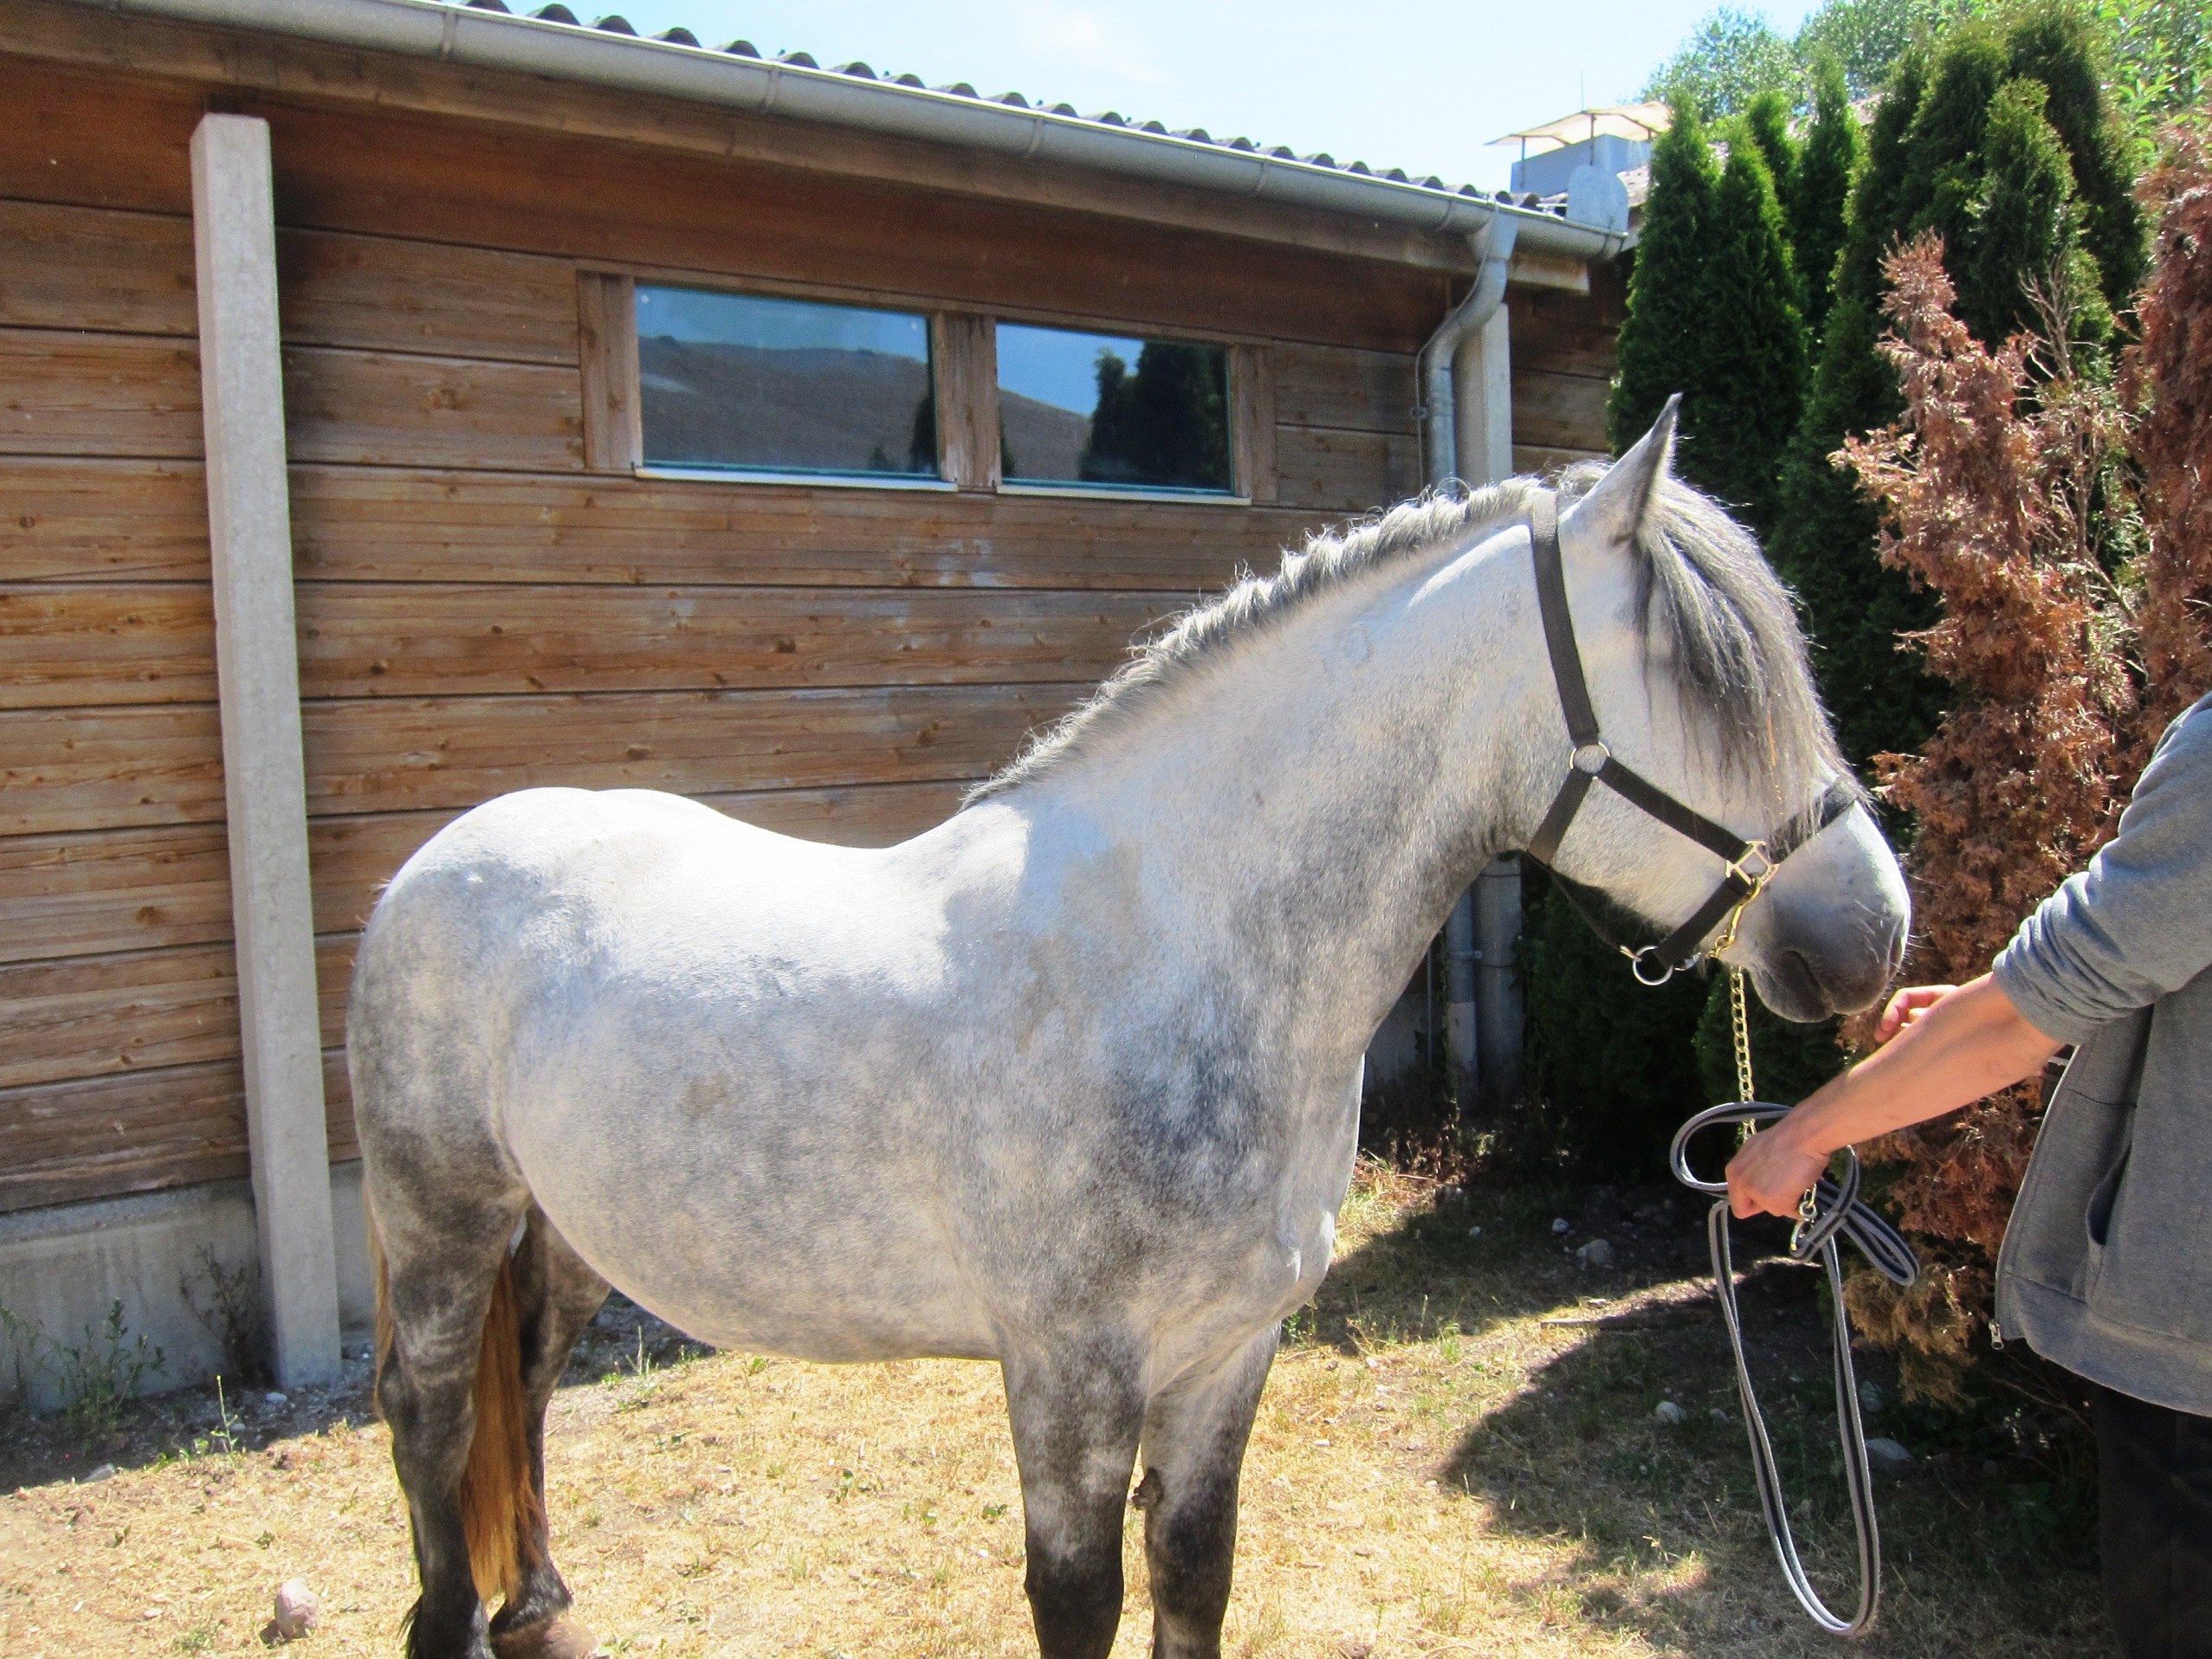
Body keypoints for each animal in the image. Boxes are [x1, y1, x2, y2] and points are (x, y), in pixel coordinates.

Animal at [353, 403, 1908, 1659]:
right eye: (1704, 678)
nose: (1874, 933)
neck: (1175, 957)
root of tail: (439, 860)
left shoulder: (1226, 1355)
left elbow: (1193, 1576)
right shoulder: (1068, 1376)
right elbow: (1080, 1603)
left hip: (565, 1231)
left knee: (524, 1383)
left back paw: (541, 1604)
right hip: (439, 1218)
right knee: (429, 1414)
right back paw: (452, 1621)